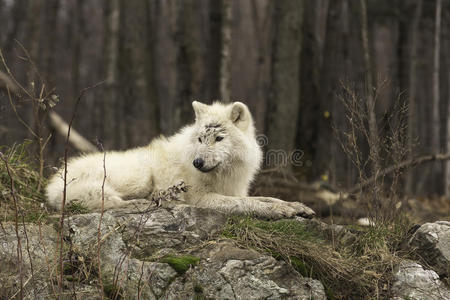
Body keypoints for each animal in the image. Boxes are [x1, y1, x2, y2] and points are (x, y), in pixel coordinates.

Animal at [44, 102, 312, 219]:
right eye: (201, 138)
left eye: (219, 138)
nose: (198, 163)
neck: (223, 174)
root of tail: (54, 184)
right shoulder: (202, 199)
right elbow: (248, 204)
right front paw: (280, 211)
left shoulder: (235, 190)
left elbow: (266, 198)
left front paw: (297, 206)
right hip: (139, 176)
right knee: (108, 203)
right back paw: (145, 204)